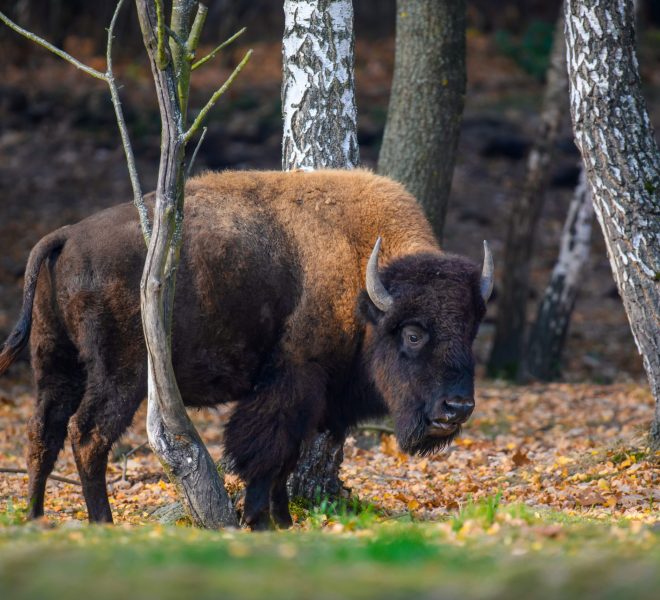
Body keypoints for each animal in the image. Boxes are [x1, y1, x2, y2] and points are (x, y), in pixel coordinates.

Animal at [0, 169, 493, 528]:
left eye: (471, 329)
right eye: (412, 333)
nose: (457, 408)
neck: (359, 273)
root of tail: (67, 235)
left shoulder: (310, 401)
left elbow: (287, 458)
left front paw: (283, 521)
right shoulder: (292, 384)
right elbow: (267, 453)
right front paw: (258, 522)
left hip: (56, 364)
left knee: (43, 432)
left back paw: (35, 518)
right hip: (119, 375)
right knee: (88, 434)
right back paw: (101, 523)